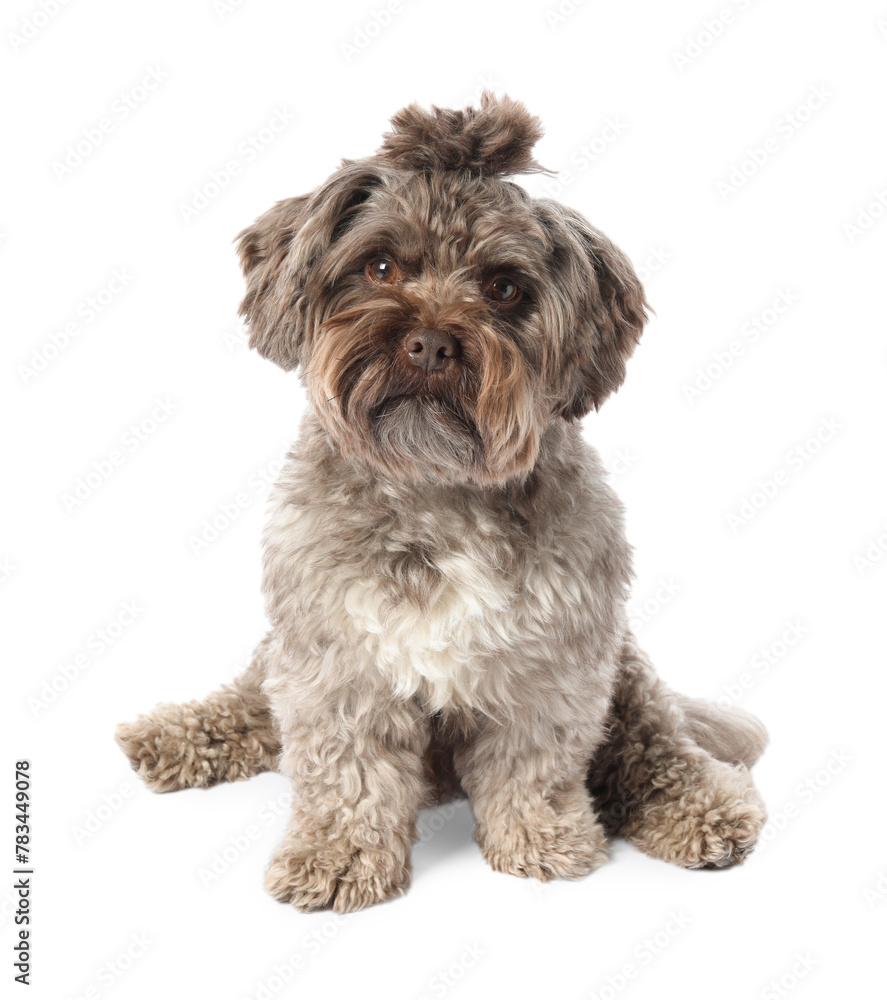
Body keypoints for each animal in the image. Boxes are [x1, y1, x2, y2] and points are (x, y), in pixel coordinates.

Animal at [116, 95, 772, 916]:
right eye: (380, 265)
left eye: (504, 287)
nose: (429, 343)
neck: (436, 487)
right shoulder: (334, 656)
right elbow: (347, 771)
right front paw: (338, 856)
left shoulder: (555, 661)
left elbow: (536, 763)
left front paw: (541, 840)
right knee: (252, 703)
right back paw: (170, 736)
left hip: (626, 673)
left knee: (653, 746)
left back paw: (703, 809)